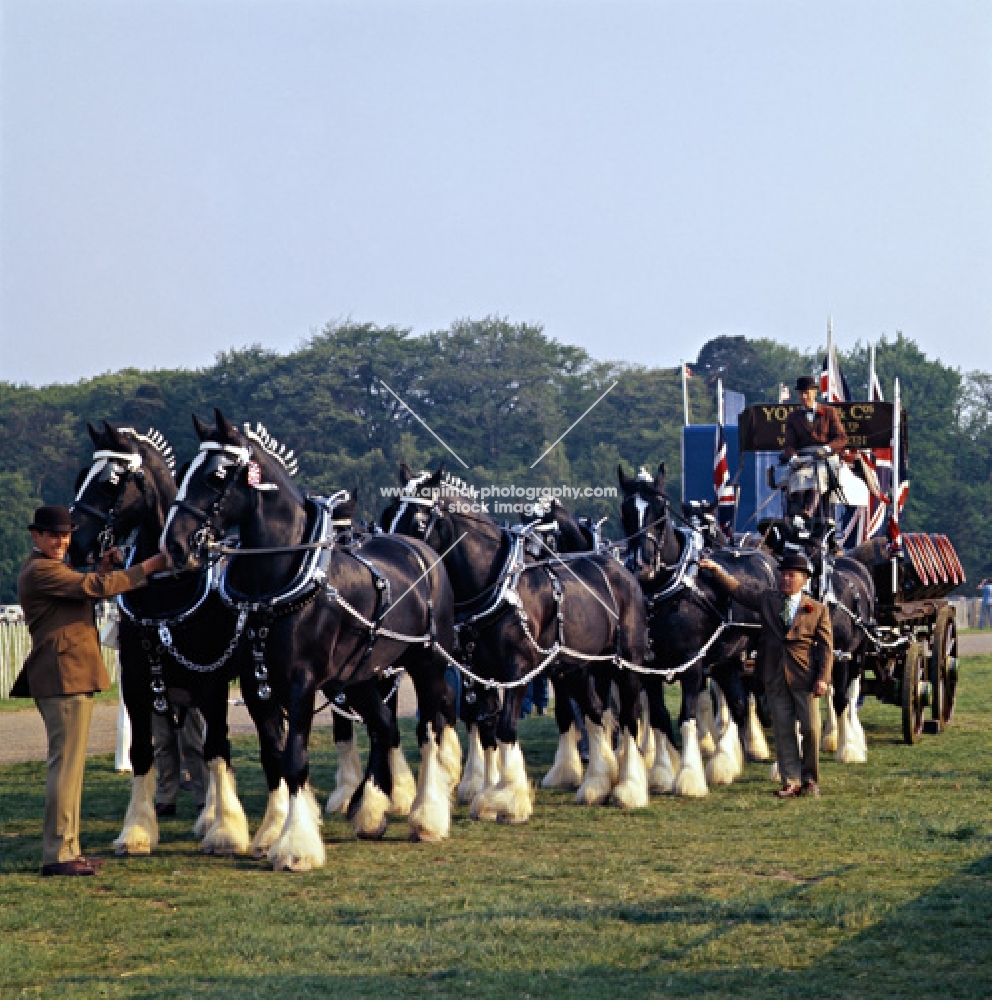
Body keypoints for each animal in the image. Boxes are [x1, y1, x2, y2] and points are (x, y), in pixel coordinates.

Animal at [68, 424, 286, 860]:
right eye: (84, 473)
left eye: (110, 481)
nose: (75, 544)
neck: (167, 587)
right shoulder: (137, 681)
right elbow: (143, 751)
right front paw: (136, 831)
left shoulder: (211, 681)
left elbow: (217, 748)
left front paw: (227, 831)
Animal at [162, 412, 458, 868]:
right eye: (181, 473)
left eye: (216, 476)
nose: (174, 545)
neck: (277, 584)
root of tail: (422, 551)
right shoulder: (257, 685)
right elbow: (273, 757)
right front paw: (271, 832)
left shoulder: (301, 684)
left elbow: (295, 758)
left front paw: (296, 846)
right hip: (359, 677)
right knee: (385, 727)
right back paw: (371, 812)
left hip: (426, 663)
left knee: (430, 730)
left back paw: (427, 818)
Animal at [382, 462, 652, 820]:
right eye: (387, 515)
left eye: (419, 521)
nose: (395, 564)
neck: (495, 586)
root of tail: (622, 570)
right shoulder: (478, 675)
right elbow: (486, 731)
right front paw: (486, 795)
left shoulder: (518, 671)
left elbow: (506, 728)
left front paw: (510, 799)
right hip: (576, 668)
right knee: (595, 712)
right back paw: (597, 784)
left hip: (626, 663)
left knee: (630, 716)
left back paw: (629, 789)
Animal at [616, 460, 780, 796]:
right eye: (626, 512)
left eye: (660, 511)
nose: (643, 567)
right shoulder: (648, 669)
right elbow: (660, 718)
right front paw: (663, 773)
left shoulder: (692, 666)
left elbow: (687, 718)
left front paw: (689, 777)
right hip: (728, 658)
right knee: (739, 704)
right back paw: (731, 761)